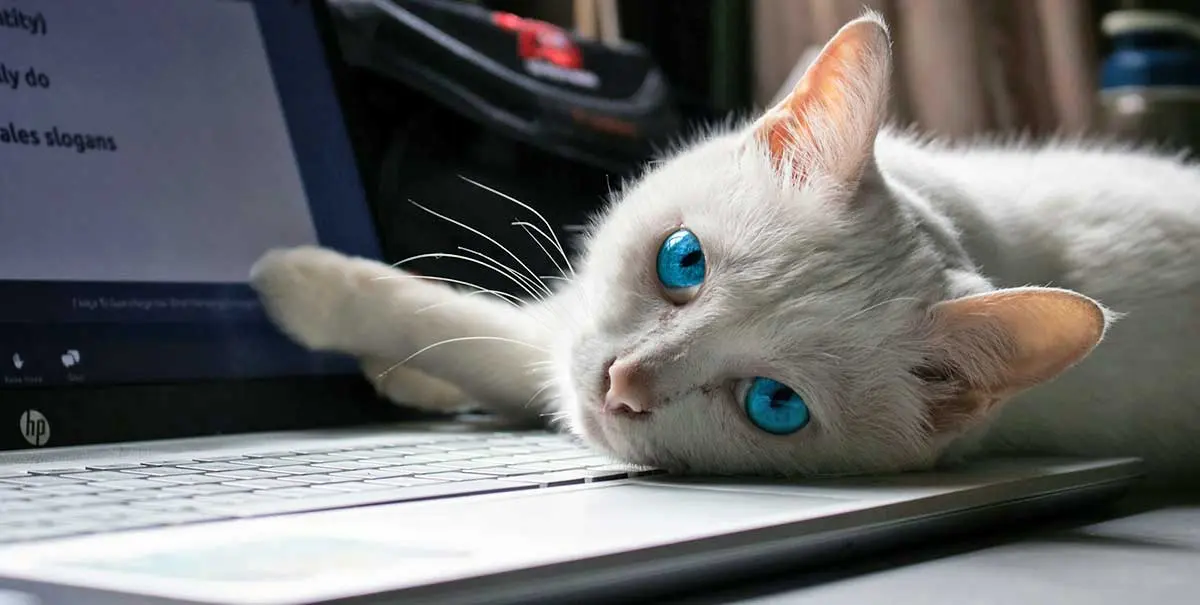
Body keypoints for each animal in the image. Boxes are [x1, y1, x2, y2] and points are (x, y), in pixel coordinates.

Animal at [248, 14, 1200, 484]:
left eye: (774, 405)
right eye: (683, 261)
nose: (622, 386)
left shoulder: (547, 358)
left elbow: (482, 333)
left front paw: (293, 284)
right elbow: (516, 332)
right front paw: (411, 378)